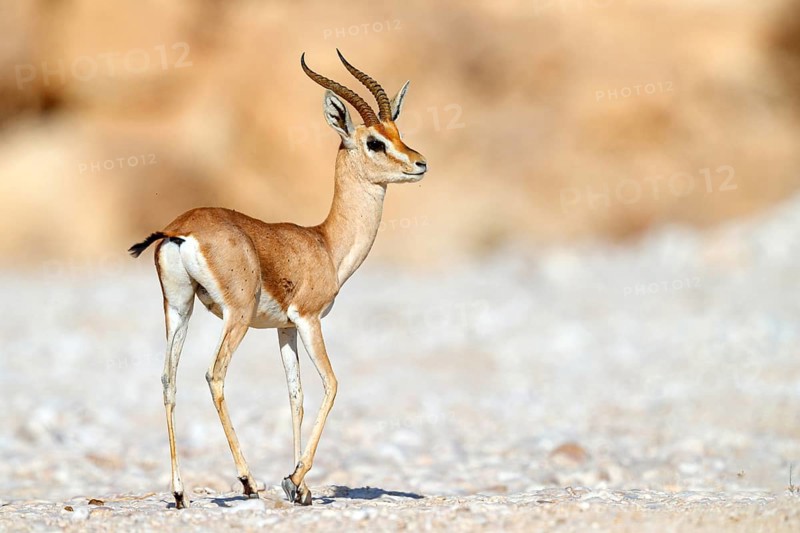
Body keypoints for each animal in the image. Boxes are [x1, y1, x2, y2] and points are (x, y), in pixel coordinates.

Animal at [128, 51, 427, 508]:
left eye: (398, 131)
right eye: (375, 141)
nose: (419, 163)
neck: (324, 243)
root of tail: (181, 229)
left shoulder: (284, 329)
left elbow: (296, 396)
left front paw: (301, 489)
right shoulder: (309, 319)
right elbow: (331, 384)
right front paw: (293, 478)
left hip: (179, 309)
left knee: (167, 379)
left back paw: (179, 493)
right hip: (235, 315)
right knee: (215, 375)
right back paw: (249, 481)